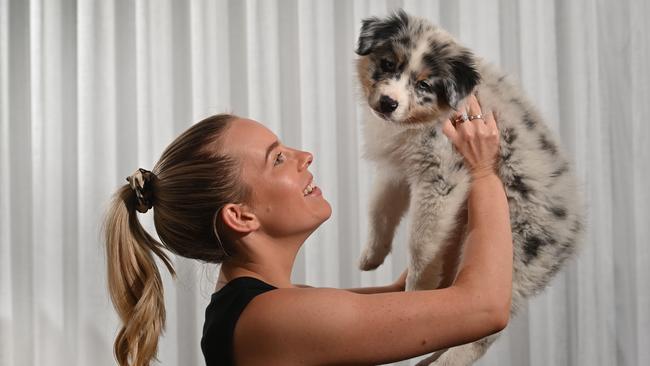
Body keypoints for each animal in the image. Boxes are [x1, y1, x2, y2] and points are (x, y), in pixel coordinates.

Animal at [354, 10, 584, 364]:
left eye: (423, 84)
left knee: (484, 329)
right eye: (389, 63)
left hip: (517, 256)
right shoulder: (398, 168)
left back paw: (444, 361)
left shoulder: (443, 175)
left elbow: (420, 244)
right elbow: (380, 208)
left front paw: (416, 294)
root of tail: (573, 229)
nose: (388, 103)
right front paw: (371, 256)